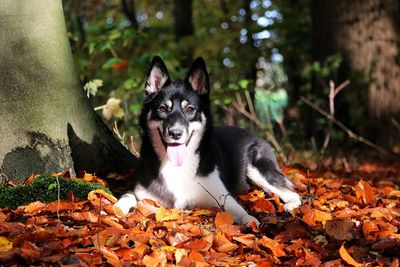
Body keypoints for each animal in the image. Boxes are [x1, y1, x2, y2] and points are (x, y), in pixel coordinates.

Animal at [117, 56, 302, 226]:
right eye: (162, 108)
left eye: (190, 109)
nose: (175, 133)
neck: (177, 166)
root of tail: (256, 136)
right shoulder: (138, 191)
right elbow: (125, 197)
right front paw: (115, 210)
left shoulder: (221, 195)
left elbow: (238, 209)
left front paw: (249, 220)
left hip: (258, 169)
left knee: (292, 193)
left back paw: (290, 205)